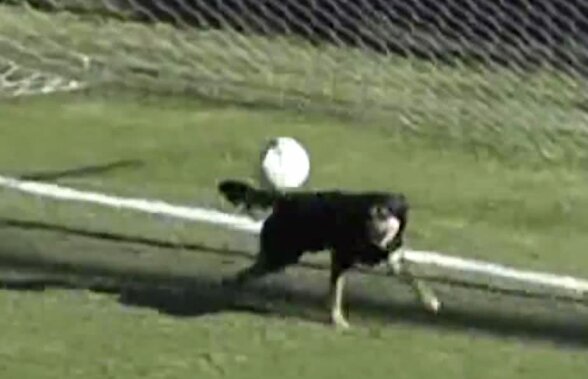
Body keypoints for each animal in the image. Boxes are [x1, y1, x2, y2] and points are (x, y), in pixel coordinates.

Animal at [218, 180, 438, 328]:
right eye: (371, 214)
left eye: (385, 213)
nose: (371, 223)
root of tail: (284, 199)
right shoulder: (341, 258)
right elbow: (336, 292)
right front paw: (336, 319)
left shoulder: (394, 260)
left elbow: (415, 280)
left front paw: (430, 301)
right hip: (281, 255)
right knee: (244, 274)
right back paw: (231, 289)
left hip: (282, 256)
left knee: (246, 273)